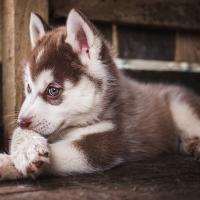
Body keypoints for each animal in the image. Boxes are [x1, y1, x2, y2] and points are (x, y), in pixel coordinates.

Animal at [0, 8, 200, 180]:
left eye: (53, 90)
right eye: (28, 88)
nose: (21, 120)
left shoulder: (104, 143)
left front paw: (7, 162)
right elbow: (20, 132)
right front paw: (26, 149)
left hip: (181, 105)